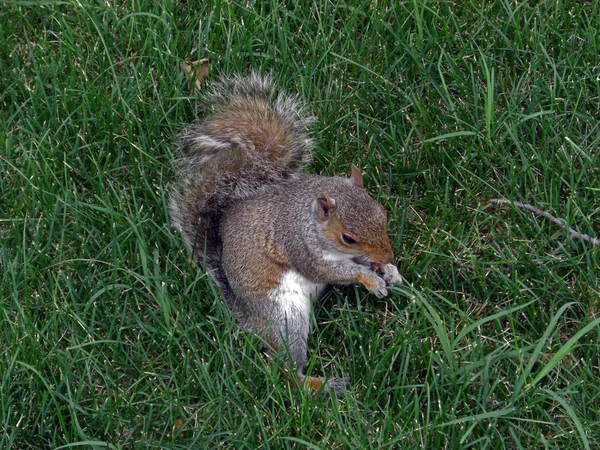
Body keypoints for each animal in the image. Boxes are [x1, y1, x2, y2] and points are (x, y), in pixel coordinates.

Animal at [169, 73, 404, 394]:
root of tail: (247, 317)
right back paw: (322, 385)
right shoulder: (299, 247)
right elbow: (333, 271)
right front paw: (369, 279)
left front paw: (389, 271)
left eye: (383, 214)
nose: (390, 255)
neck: (308, 219)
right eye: (348, 238)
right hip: (285, 316)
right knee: (285, 371)